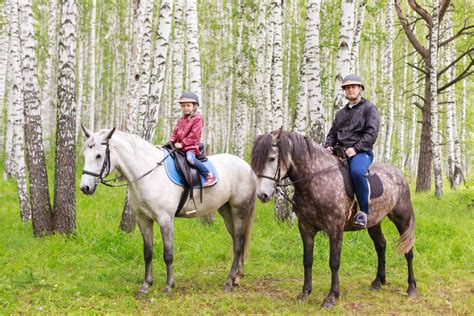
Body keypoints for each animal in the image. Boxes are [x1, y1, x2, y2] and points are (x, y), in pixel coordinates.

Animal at [78, 126, 256, 298]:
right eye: (85, 154)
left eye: (99, 156)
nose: (85, 187)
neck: (148, 174)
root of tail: (247, 166)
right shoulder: (143, 219)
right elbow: (148, 253)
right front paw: (145, 286)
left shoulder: (165, 219)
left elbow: (168, 254)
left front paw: (169, 287)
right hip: (226, 210)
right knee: (237, 241)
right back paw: (237, 277)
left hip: (239, 210)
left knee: (239, 243)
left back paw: (229, 282)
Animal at [250, 130, 416, 308]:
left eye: (272, 158)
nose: (262, 195)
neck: (315, 180)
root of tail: (400, 174)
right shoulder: (306, 228)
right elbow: (307, 260)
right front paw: (305, 293)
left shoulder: (335, 228)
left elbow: (334, 262)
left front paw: (331, 297)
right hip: (374, 222)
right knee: (381, 245)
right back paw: (378, 281)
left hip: (402, 219)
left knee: (408, 250)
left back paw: (411, 287)